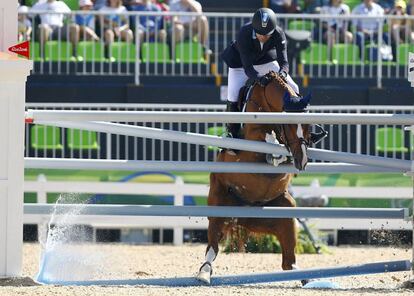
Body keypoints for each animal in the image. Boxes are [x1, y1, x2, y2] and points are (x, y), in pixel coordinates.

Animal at [196, 71, 310, 284]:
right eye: (290, 124)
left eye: (308, 126)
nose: (303, 160)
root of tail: (244, 216)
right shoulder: (253, 142)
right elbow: (267, 138)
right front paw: (275, 153)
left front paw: (281, 156)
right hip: (218, 213)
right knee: (212, 248)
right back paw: (204, 274)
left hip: (285, 216)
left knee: (288, 262)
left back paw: (308, 279)